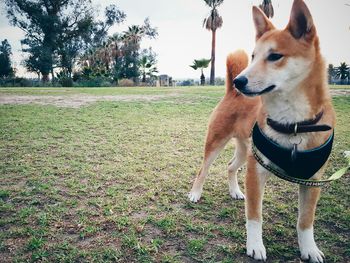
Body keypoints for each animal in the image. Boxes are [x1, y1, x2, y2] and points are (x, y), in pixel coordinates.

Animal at [190, 1, 334, 262]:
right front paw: (255, 245)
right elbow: (255, 216)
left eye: (275, 56)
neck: (292, 124)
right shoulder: (256, 172)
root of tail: (231, 93)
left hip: (244, 150)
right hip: (217, 143)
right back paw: (195, 193)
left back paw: (235, 191)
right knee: (202, 170)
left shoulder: (313, 181)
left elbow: (306, 221)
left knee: (230, 167)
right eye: (253, 56)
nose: (239, 81)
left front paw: (309, 249)